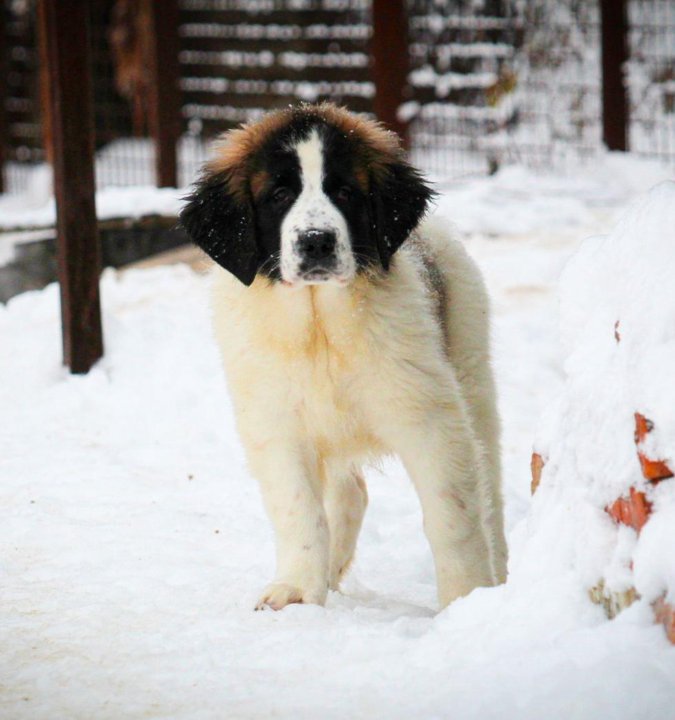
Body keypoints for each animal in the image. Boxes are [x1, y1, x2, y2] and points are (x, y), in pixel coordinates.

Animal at [180, 104, 508, 612]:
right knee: (350, 492)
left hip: (471, 373)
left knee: (489, 491)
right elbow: (300, 512)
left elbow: (451, 516)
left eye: (345, 192)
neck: (321, 327)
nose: (316, 240)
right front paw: (298, 589)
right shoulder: (276, 425)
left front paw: (464, 601)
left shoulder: (429, 419)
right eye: (279, 195)